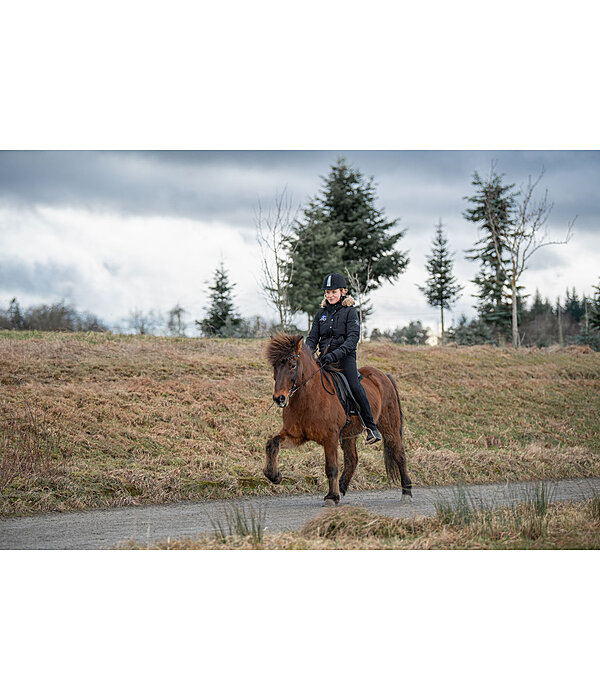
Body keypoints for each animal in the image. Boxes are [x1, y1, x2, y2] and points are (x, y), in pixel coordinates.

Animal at [264, 334, 410, 504]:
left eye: (292, 365)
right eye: (275, 366)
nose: (279, 398)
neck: (308, 398)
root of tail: (383, 376)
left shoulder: (330, 438)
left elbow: (331, 467)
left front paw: (331, 497)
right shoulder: (296, 436)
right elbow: (272, 444)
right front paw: (274, 476)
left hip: (389, 427)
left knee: (399, 454)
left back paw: (407, 491)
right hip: (349, 434)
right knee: (352, 460)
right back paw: (341, 488)